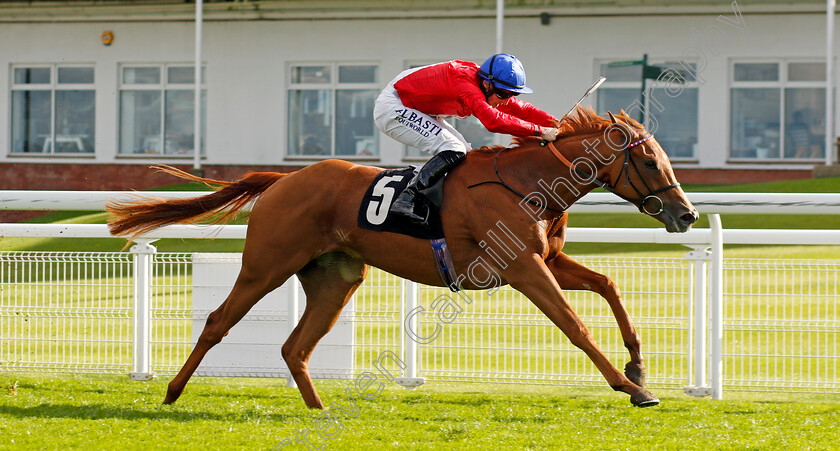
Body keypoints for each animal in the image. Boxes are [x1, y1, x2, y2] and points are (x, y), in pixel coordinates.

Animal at [106, 106, 696, 410]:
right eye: (649, 161)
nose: (686, 214)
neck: (528, 182)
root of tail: (281, 180)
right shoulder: (522, 269)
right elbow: (574, 324)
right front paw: (631, 389)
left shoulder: (546, 261)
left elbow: (608, 286)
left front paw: (638, 366)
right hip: (266, 265)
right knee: (217, 321)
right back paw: (172, 392)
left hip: (336, 278)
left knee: (296, 346)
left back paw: (318, 408)